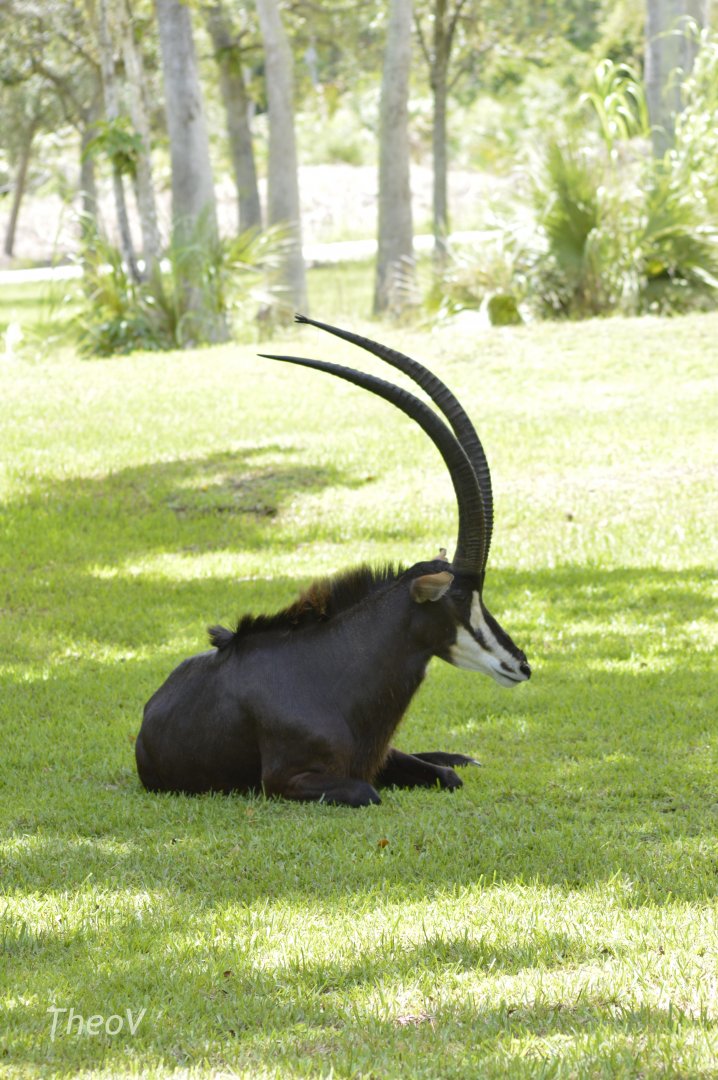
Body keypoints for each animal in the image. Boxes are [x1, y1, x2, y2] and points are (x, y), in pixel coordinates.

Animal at [135, 315, 530, 806]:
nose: (520, 665)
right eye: (458, 600)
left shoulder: (379, 757)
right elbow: (369, 792)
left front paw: (452, 764)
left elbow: (444, 776)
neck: (330, 674)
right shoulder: (288, 782)